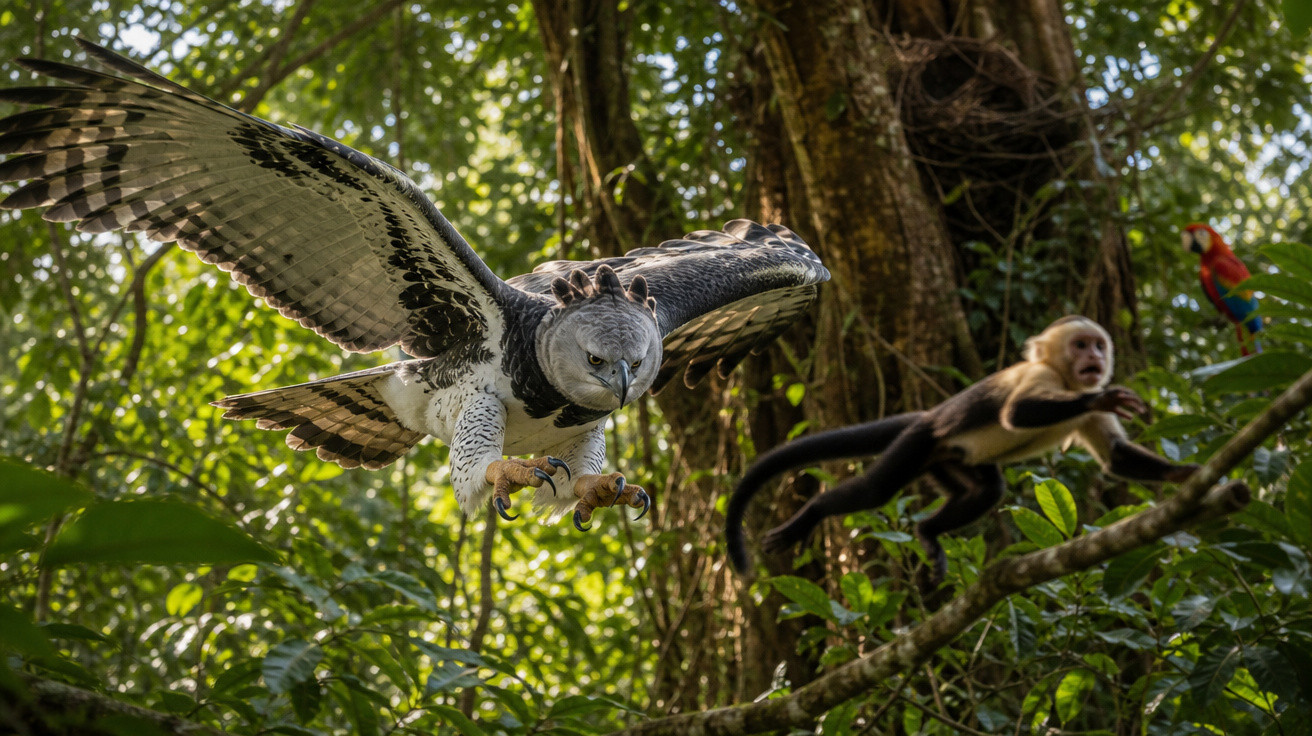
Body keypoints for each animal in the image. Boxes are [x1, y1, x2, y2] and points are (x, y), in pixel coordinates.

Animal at [725, 316, 1199, 586]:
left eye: (1098, 345)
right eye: (1081, 345)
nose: (1096, 359)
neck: (1066, 380)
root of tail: (930, 415)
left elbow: (1116, 457)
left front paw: (1186, 475)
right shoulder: (1041, 375)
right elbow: (1017, 413)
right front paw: (1101, 398)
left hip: (948, 460)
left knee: (986, 490)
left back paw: (927, 533)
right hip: (918, 443)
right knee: (875, 492)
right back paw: (813, 515)